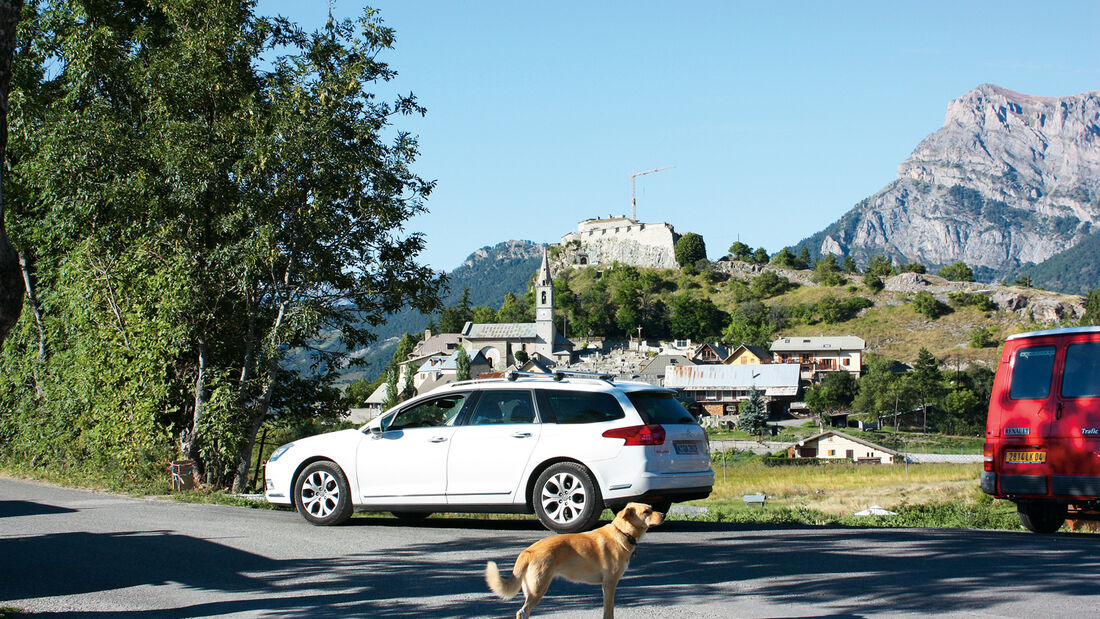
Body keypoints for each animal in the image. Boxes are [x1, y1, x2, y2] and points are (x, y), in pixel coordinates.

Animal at [484, 503, 660, 619]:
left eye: (652, 508)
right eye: (646, 511)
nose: (663, 515)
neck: (622, 533)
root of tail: (528, 551)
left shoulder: (606, 586)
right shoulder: (609, 583)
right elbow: (609, 612)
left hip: (531, 589)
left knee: (524, 613)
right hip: (538, 588)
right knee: (522, 612)